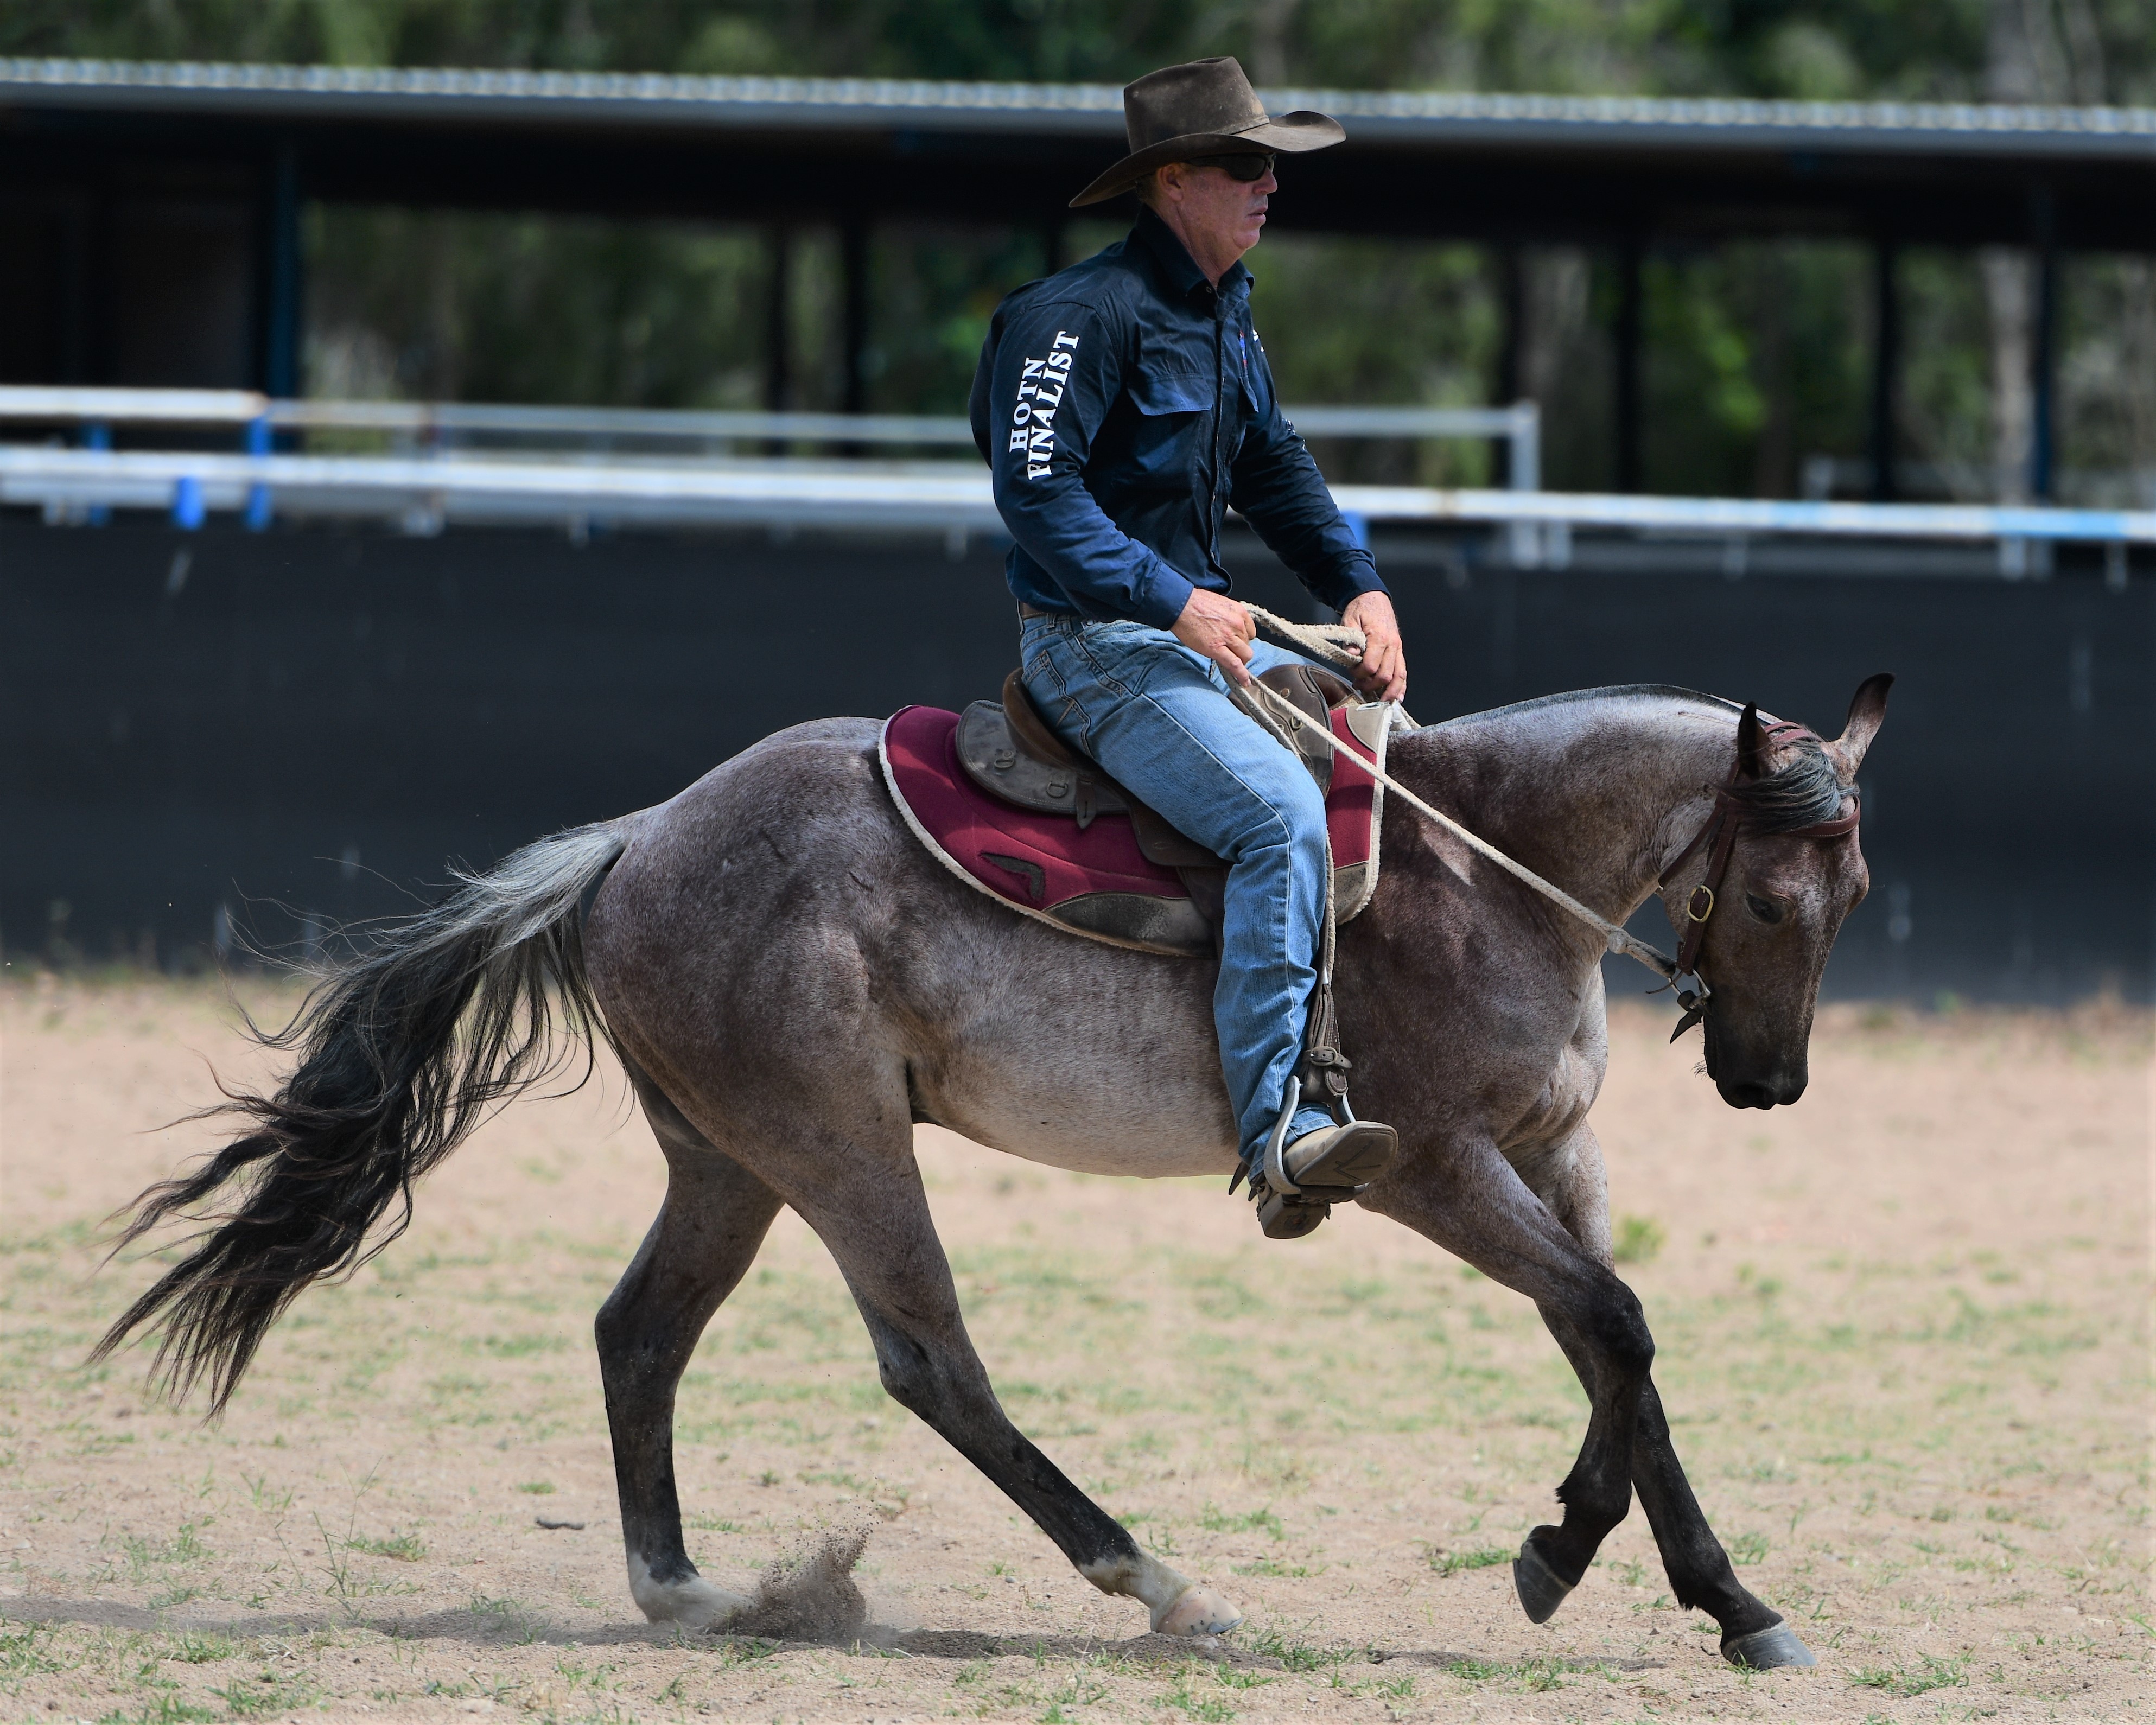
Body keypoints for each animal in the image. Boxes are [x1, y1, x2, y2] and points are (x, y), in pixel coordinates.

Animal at [97, 674, 1890, 1670]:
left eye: (1855, 895)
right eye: (1773, 898)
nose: (1770, 1081)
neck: (1479, 869)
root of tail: (636, 839)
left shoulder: (1548, 1152)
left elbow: (1612, 1342)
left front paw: (1684, 1586)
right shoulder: (1430, 1166)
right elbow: (1611, 1324)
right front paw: (1616, 1567)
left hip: (727, 1161)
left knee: (639, 1334)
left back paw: (686, 1591)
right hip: (841, 1150)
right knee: (931, 1365)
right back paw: (1157, 1582)